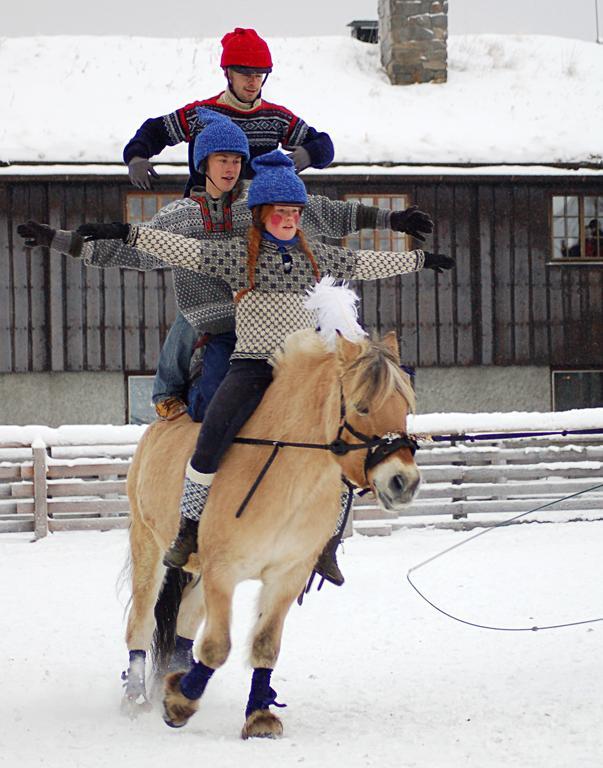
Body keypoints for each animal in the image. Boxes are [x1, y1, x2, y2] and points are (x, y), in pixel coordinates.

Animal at [125, 330, 422, 736]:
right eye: (361, 407)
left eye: (405, 405)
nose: (403, 482)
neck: (287, 474)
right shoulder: (223, 572)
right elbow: (217, 646)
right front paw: (180, 703)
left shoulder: (286, 575)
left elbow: (265, 646)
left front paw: (259, 715)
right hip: (148, 546)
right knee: (140, 622)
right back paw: (136, 695)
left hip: (200, 571)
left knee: (185, 619)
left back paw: (171, 675)